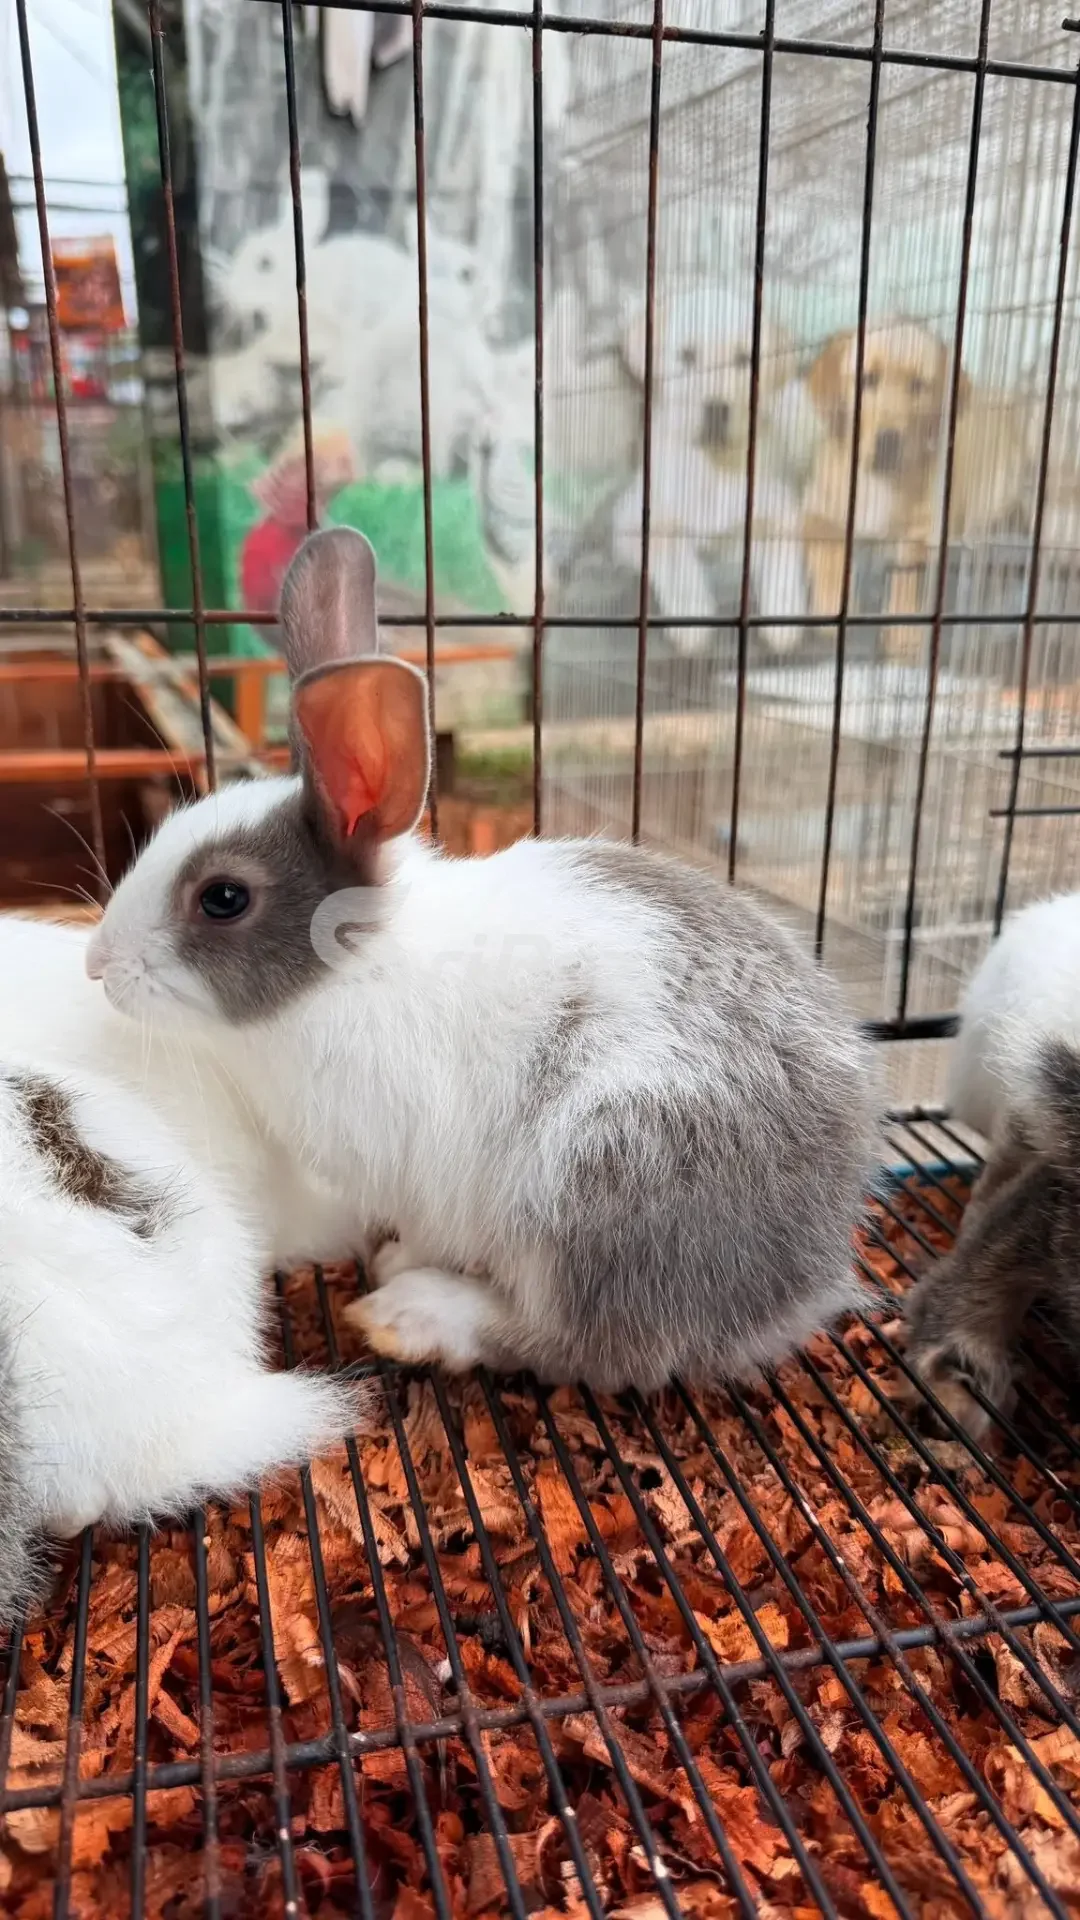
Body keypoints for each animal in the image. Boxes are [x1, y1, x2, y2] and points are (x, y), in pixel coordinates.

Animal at [84, 526, 878, 1395]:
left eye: (223, 898)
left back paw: (416, 1313)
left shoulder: (423, 1173)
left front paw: (402, 1264)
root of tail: (797, 1284)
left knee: (578, 1341)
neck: (354, 972)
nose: (97, 964)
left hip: (596, 1183)